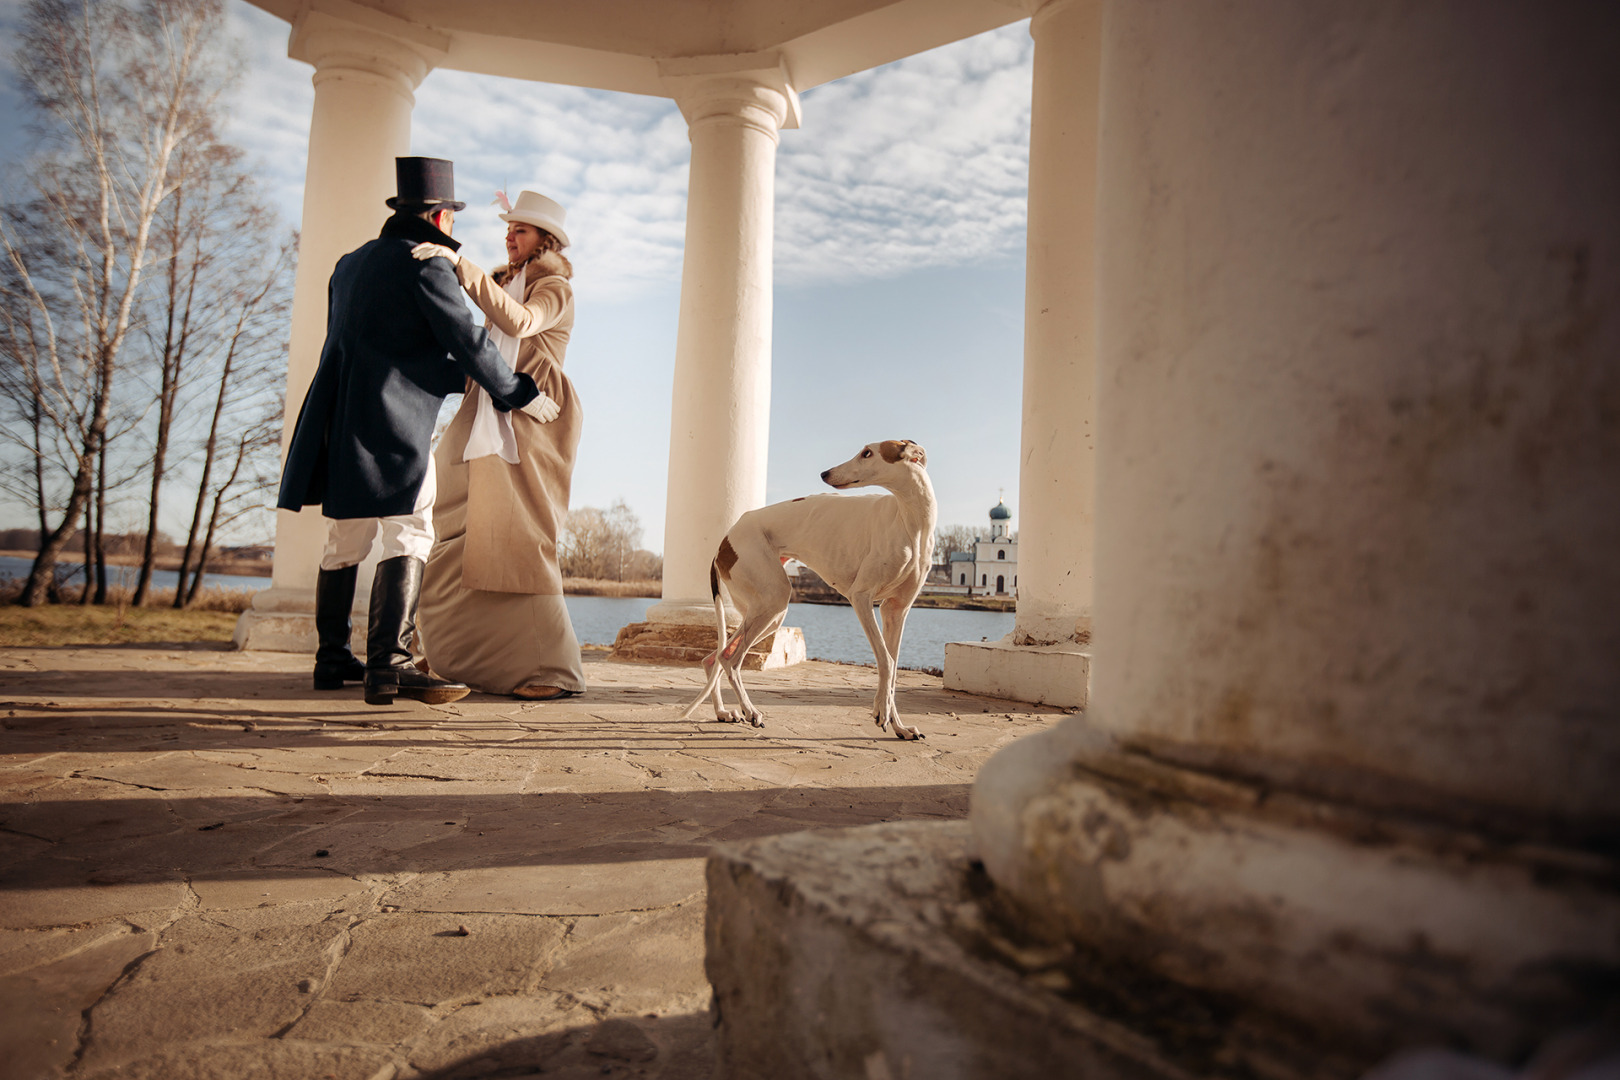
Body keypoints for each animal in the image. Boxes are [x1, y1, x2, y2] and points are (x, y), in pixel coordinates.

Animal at [680, 440, 939, 744]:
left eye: (868, 453)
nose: (824, 474)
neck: (910, 520)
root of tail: (724, 541)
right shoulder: (861, 598)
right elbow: (886, 661)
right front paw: (882, 713)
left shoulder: (895, 610)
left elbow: (893, 668)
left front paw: (898, 725)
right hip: (772, 598)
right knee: (729, 658)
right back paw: (751, 712)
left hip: (769, 612)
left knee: (714, 657)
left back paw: (723, 712)